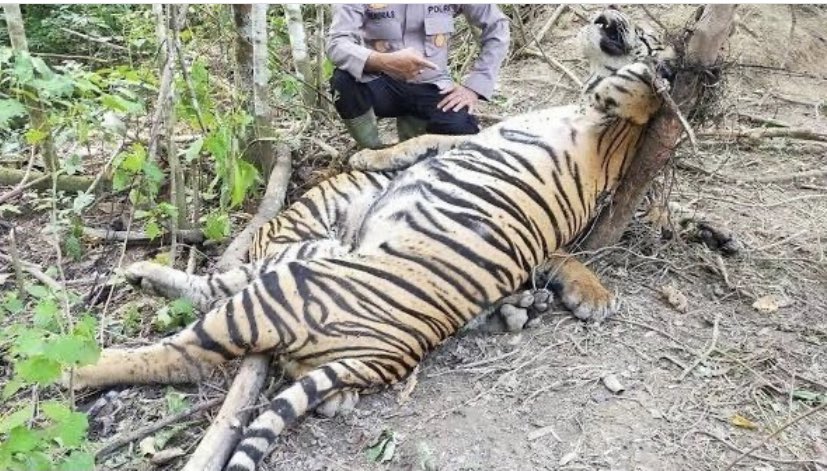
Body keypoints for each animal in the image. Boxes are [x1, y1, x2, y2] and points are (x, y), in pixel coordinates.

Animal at [67, 9, 675, 471]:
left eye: (643, 28)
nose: (609, 18)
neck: (585, 101)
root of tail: (391, 355)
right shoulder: (479, 135)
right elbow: (426, 141)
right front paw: (372, 157)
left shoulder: (611, 122)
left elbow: (643, 95)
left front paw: (655, 71)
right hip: (308, 257)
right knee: (217, 290)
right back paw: (141, 277)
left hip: (283, 287)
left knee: (180, 351)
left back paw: (74, 369)